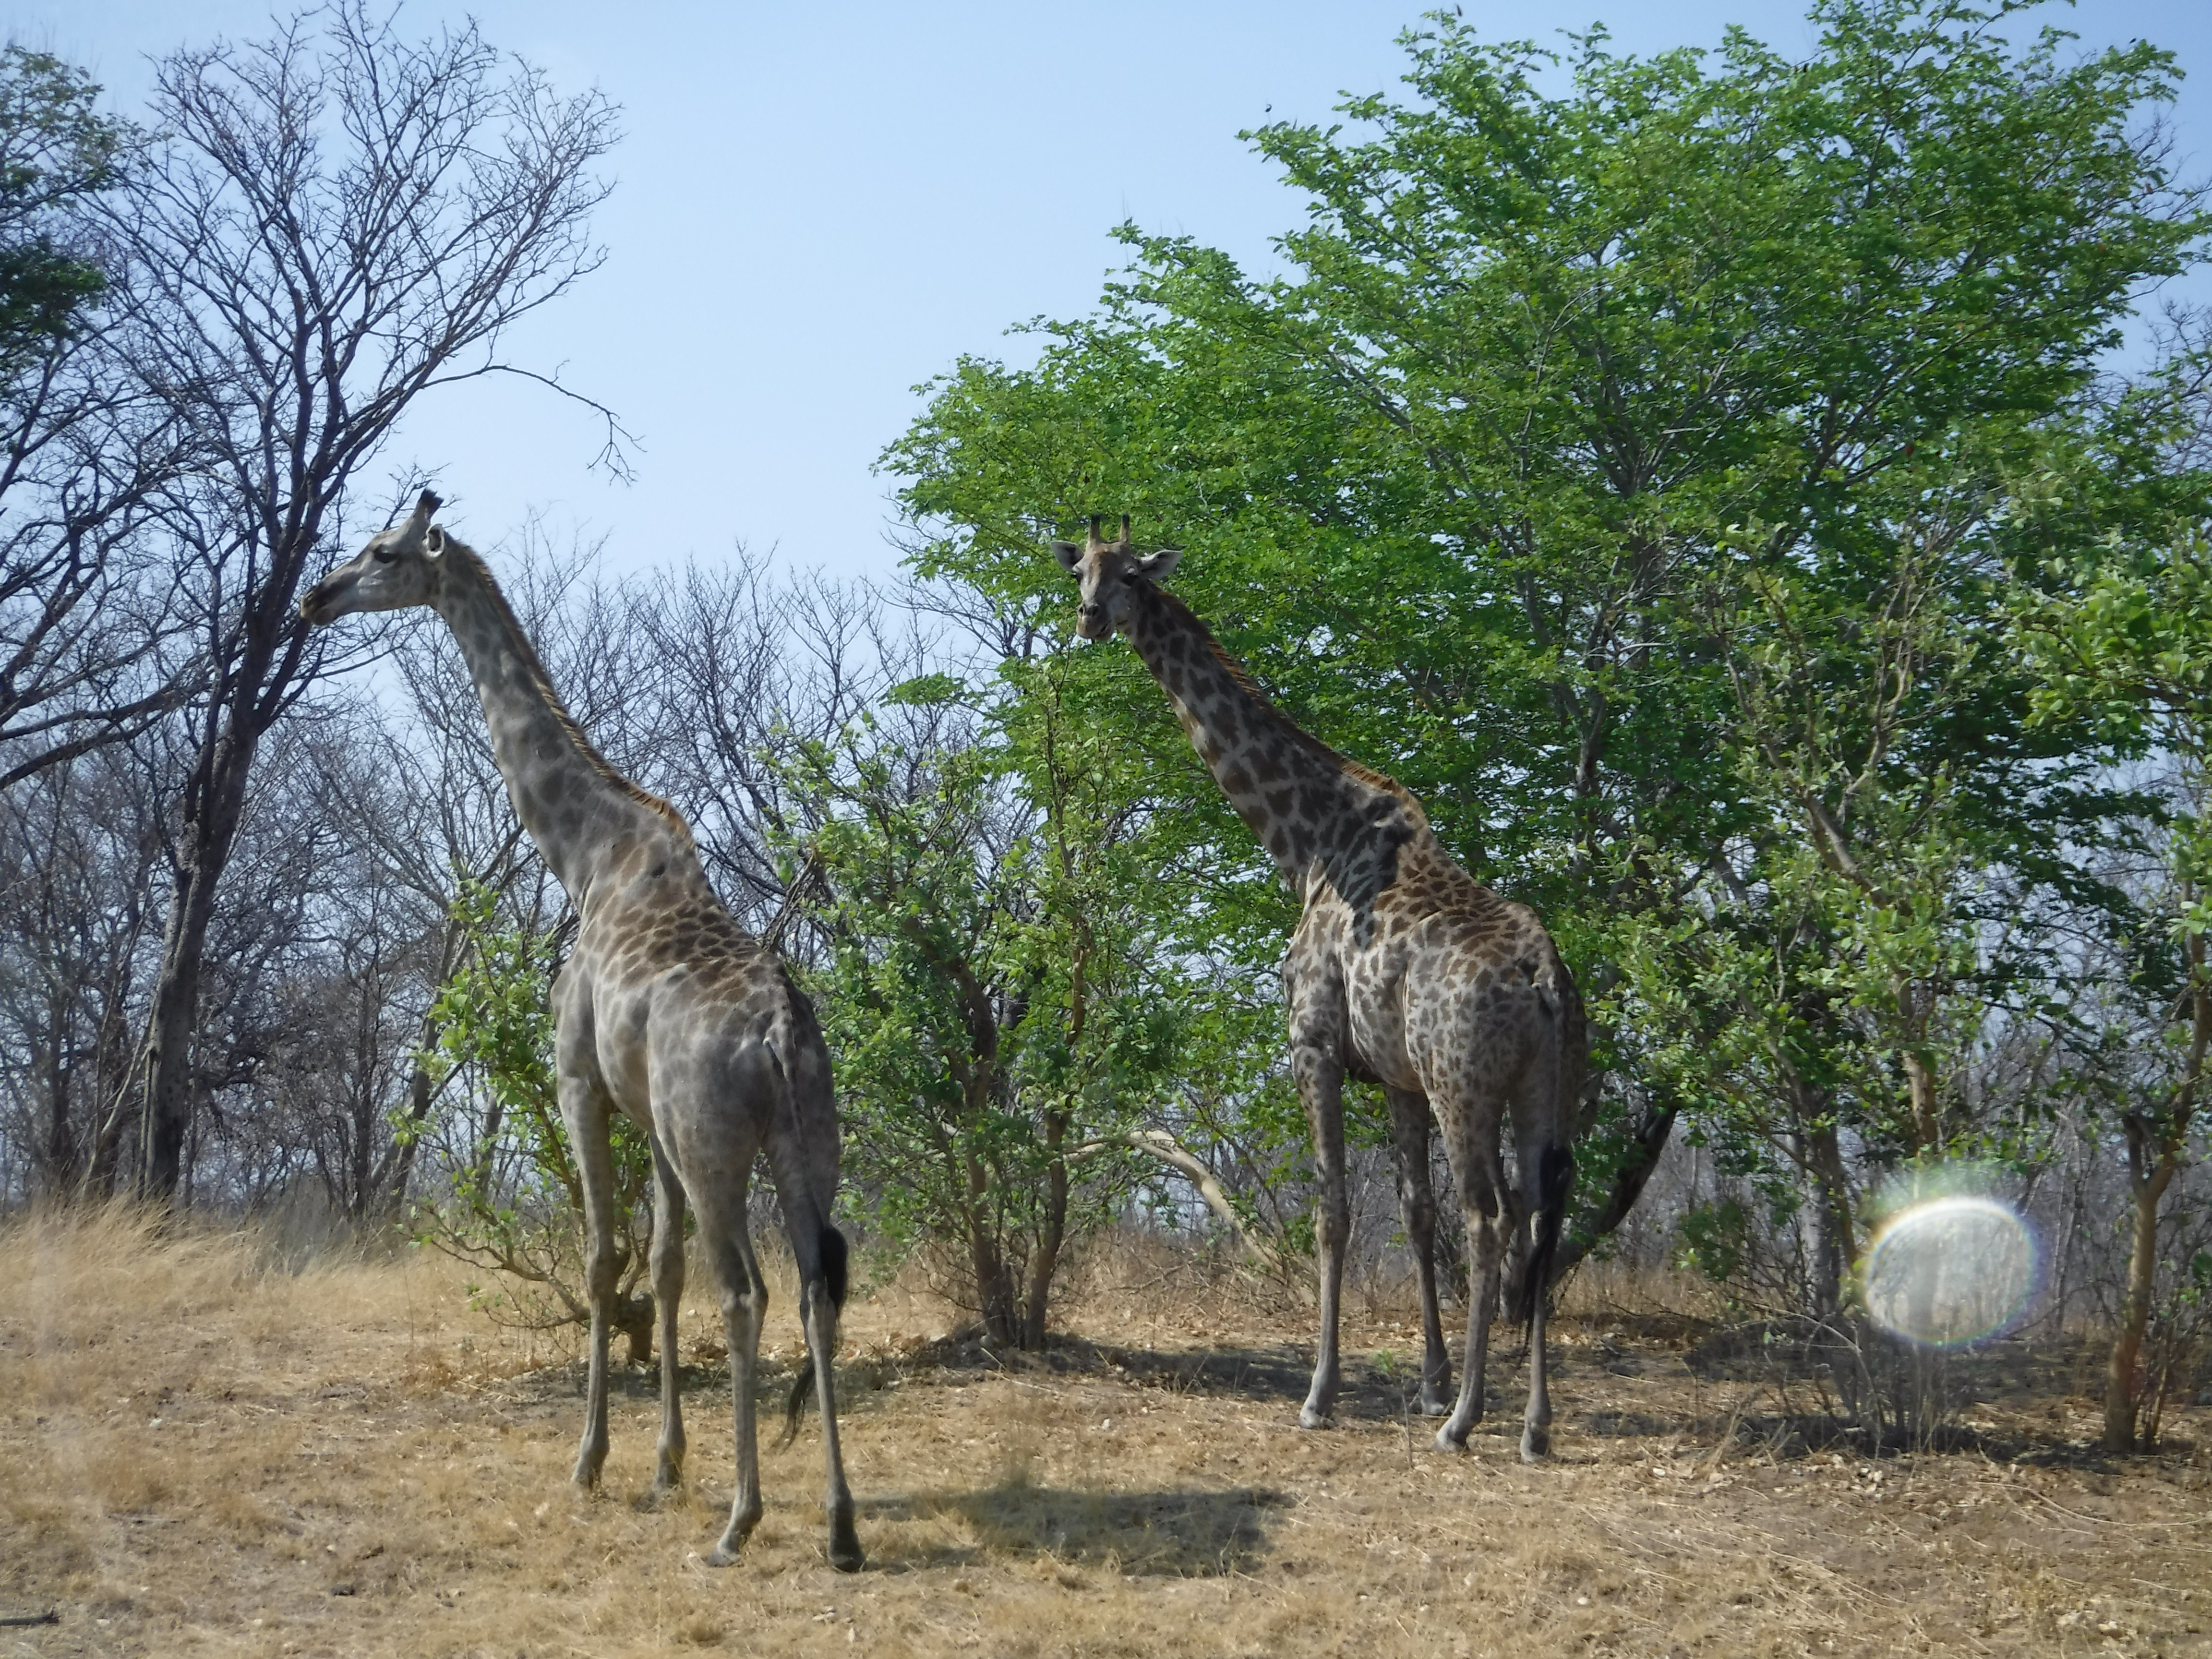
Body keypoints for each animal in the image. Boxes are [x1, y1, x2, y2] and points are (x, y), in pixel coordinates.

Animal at [302, 492, 862, 1570]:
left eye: (383, 553)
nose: (316, 595)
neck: (586, 855)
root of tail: (778, 1036)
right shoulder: (647, 1116)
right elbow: (663, 1267)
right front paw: (664, 1467)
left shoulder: (579, 1083)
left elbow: (605, 1262)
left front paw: (593, 1462)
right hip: (808, 1140)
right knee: (817, 1286)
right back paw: (840, 1528)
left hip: (715, 1144)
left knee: (749, 1292)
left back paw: (741, 1522)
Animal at [1056, 516, 1584, 1459]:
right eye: (1079, 568)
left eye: (1130, 576)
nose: (1088, 620)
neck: (1303, 841)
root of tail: (1543, 973)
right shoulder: (1398, 1078)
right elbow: (1412, 1211)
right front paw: (1425, 1380)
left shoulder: (1314, 1042)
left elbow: (1333, 1211)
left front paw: (1322, 1393)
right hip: (1538, 1086)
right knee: (1536, 1213)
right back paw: (1530, 1425)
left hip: (1463, 1083)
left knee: (1489, 1217)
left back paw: (1464, 1423)